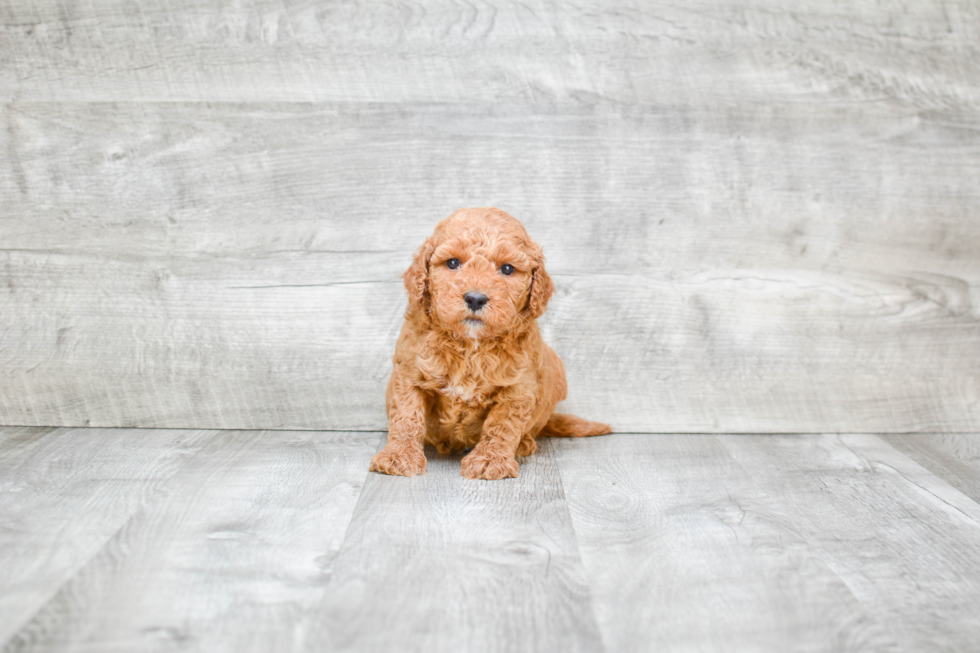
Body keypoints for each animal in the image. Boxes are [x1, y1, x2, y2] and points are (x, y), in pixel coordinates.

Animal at [372, 206, 608, 482]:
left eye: (507, 269)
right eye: (453, 263)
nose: (475, 298)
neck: (469, 345)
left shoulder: (518, 387)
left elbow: (503, 424)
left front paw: (490, 459)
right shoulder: (410, 372)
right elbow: (406, 416)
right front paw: (398, 456)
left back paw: (524, 443)